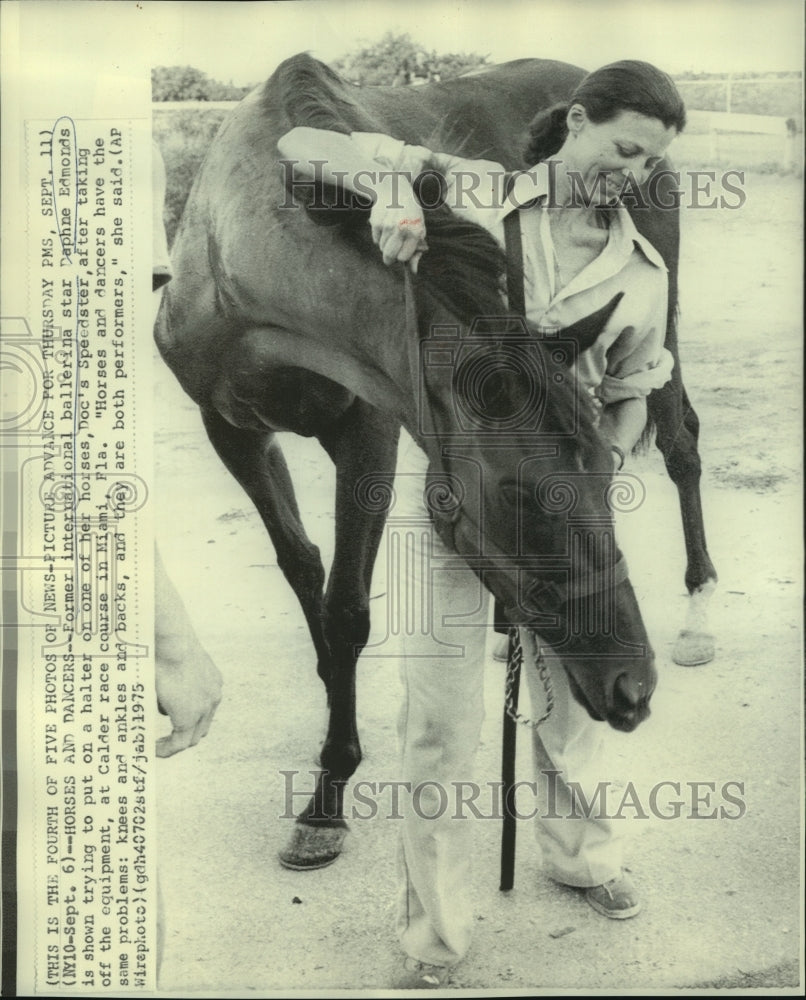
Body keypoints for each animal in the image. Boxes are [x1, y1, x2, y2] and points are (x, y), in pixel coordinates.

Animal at [156, 52, 720, 868]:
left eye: (601, 470)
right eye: (515, 494)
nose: (632, 687)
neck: (237, 262)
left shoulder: (370, 429)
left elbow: (348, 608)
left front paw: (329, 792)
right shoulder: (231, 430)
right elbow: (306, 575)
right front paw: (332, 761)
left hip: (663, 318)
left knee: (682, 443)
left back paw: (700, 613)